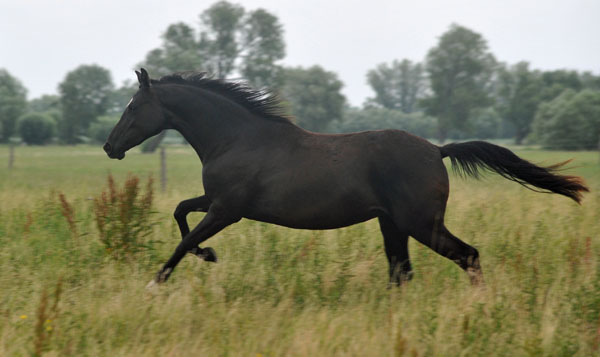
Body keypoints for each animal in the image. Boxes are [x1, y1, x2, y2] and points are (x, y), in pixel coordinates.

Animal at [104, 69, 592, 286]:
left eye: (133, 106)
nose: (110, 147)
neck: (238, 137)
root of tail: (437, 149)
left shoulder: (228, 209)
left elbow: (182, 239)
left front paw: (159, 282)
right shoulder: (218, 202)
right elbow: (179, 212)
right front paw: (208, 256)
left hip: (420, 223)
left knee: (467, 255)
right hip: (393, 224)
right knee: (402, 272)